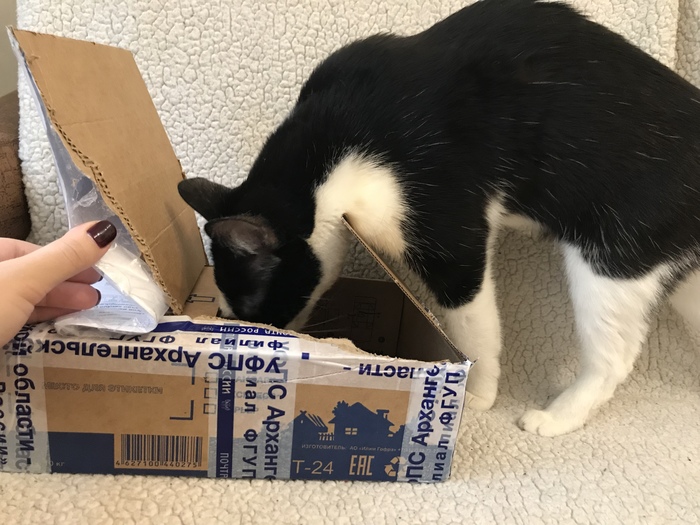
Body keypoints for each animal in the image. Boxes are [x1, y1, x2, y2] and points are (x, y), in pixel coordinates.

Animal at [178, 0, 700, 436]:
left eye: (251, 307)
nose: (258, 332)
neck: (333, 144)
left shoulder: (447, 230)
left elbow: (472, 323)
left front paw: (479, 393)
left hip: (614, 254)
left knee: (614, 356)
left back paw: (556, 417)